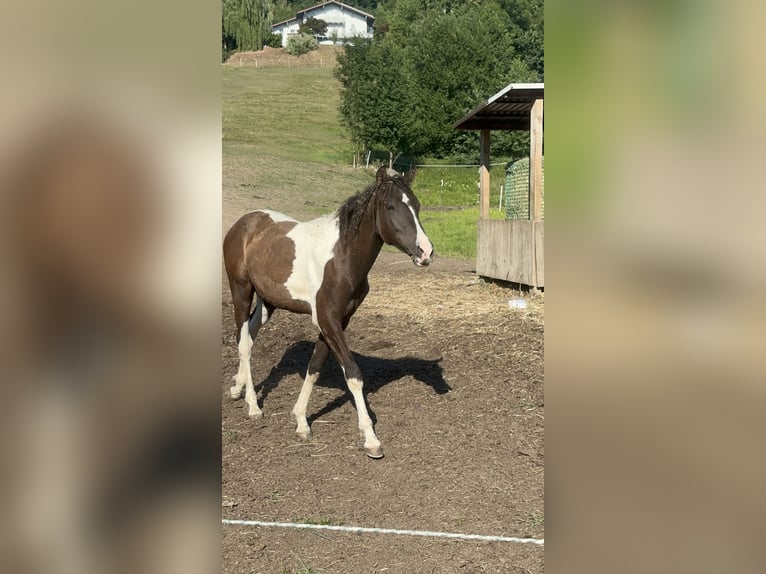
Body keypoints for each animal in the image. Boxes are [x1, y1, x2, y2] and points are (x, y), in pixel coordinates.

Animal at [223, 166, 434, 458]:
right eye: (390, 207)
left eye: (417, 205)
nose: (426, 252)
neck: (342, 257)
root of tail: (244, 222)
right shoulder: (327, 319)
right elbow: (353, 375)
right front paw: (371, 439)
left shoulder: (338, 320)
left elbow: (314, 367)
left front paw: (301, 421)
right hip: (241, 292)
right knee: (243, 342)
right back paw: (253, 406)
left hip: (268, 302)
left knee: (248, 337)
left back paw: (237, 388)